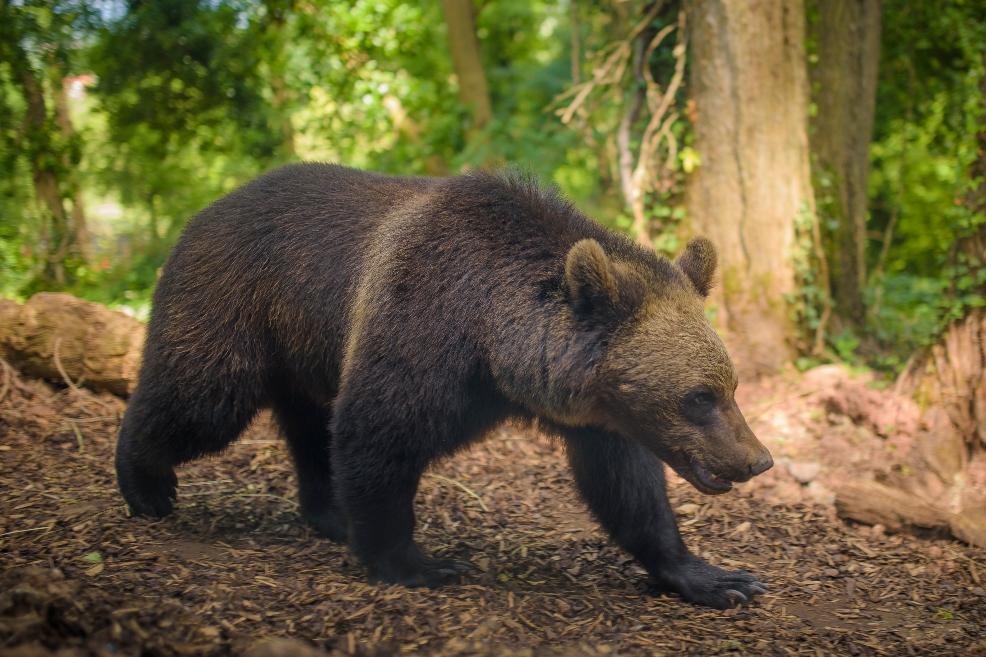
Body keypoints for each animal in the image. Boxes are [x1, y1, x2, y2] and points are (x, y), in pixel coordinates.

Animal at [115, 163, 774, 609]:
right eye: (698, 396)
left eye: (732, 385)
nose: (756, 459)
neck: (490, 337)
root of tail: (208, 208)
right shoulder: (420, 330)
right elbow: (379, 435)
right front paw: (415, 562)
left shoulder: (591, 408)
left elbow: (626, 485)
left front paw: (716, 576)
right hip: (241, 306)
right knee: (201, 398)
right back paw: (146, 483)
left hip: (303, 346)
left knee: (308, 428)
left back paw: (328, 512)